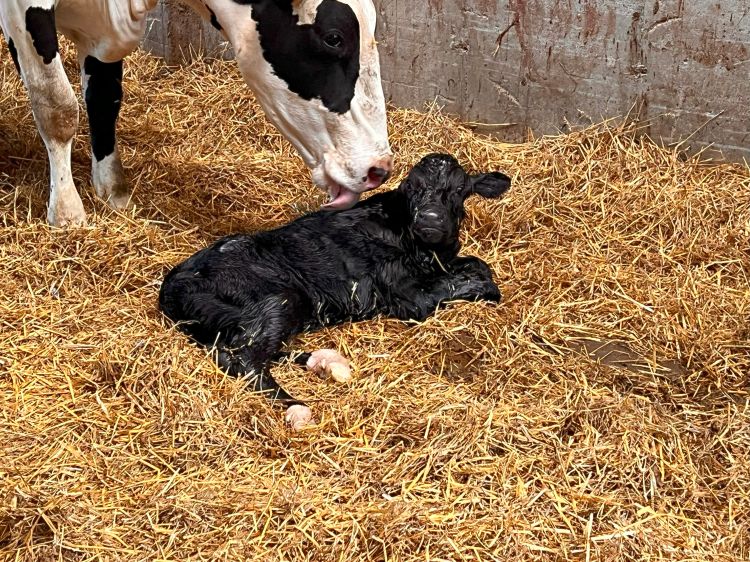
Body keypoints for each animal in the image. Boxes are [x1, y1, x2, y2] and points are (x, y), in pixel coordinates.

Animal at [0, 0, 392, 226]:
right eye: (334, 37)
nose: (380, 169)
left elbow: (104, 97)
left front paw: (113, 190)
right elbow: (58, 108)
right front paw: (67, 213)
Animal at [159, 153, 511, 430]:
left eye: (459, 189)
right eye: (411, 187)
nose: (430, 219)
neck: (426, 250)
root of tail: (173, 283)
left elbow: (477, 264)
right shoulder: (407, 295)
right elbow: (468, 282)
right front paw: (490, 292)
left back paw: (325, 363)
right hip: (280, 299)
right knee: (242, 356)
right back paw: (297, 407)